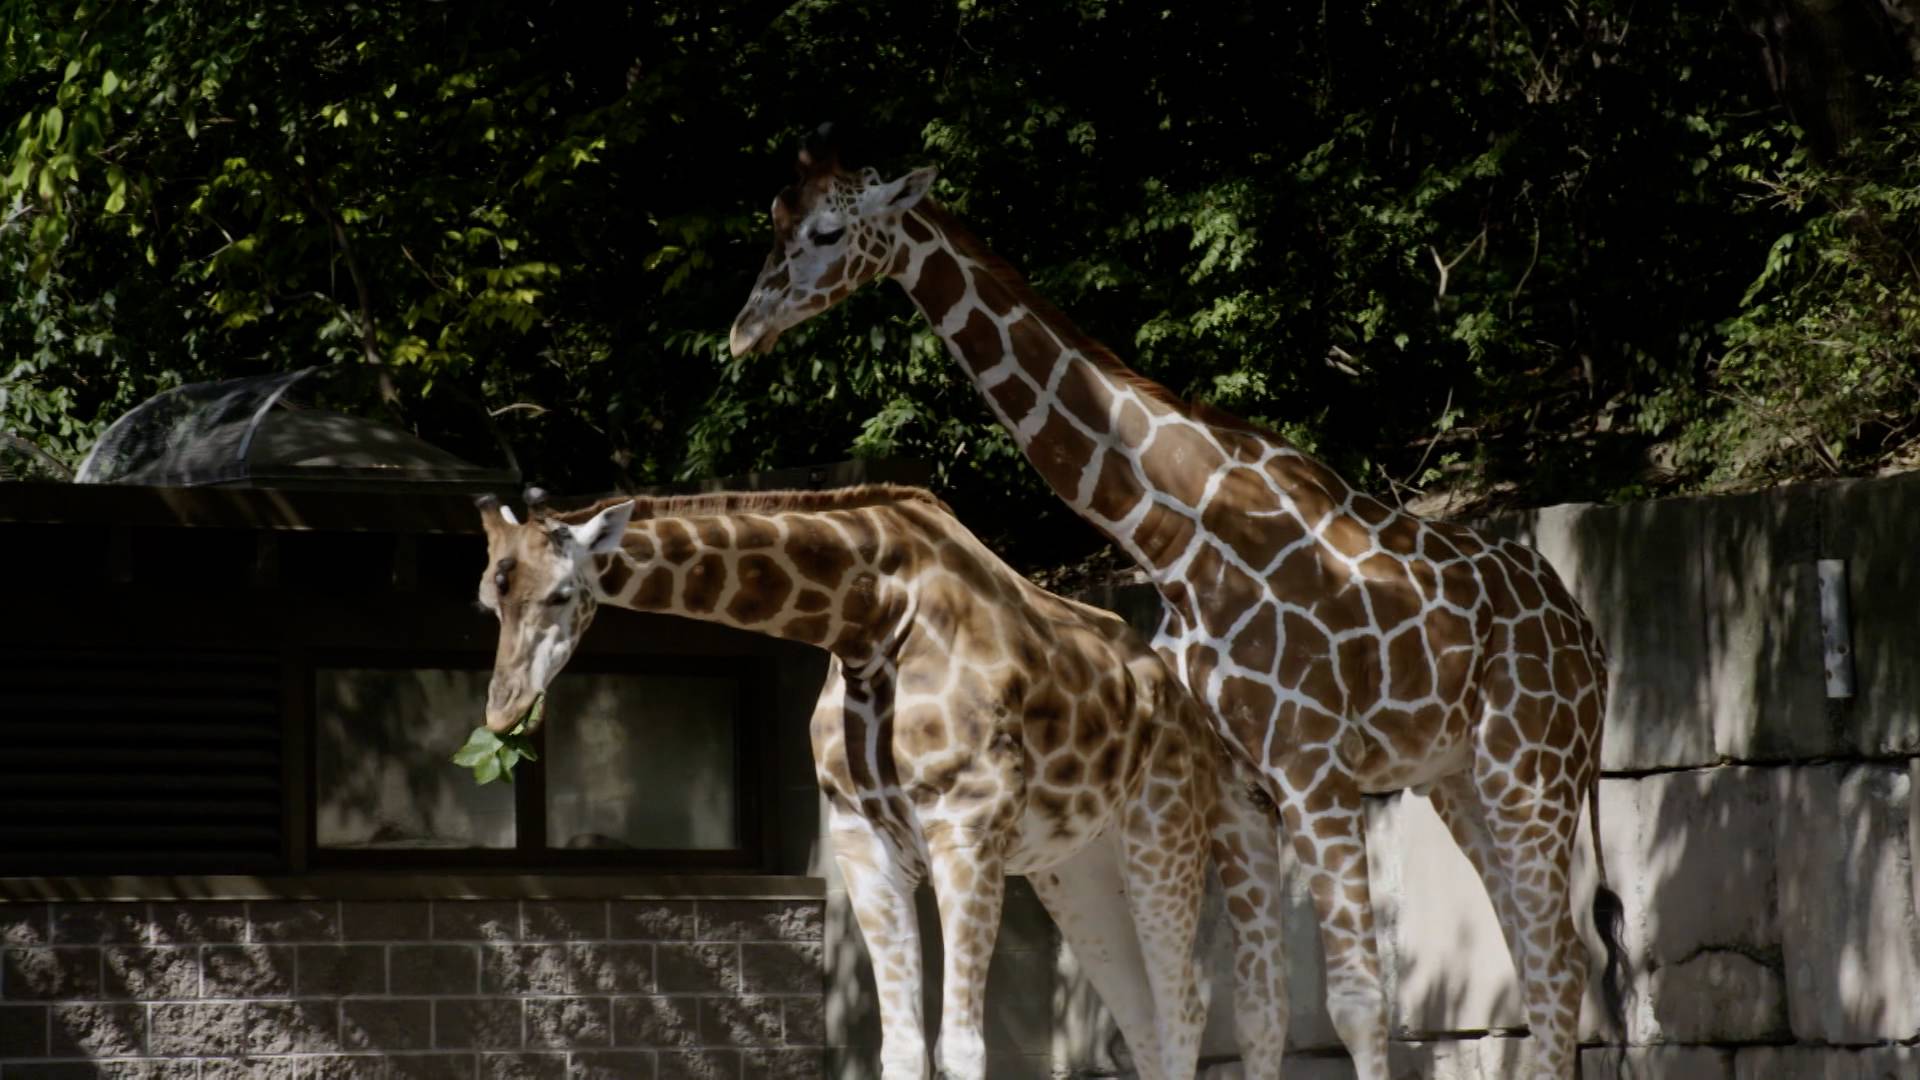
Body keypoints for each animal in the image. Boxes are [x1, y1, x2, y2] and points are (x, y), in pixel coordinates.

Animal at [478, 486, 1290, 1076]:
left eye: (560, 596)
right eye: (489, 598)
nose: (502, 710)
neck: (868, 619)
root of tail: (1181, 697)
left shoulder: (967, 831)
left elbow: (962, 1046)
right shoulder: (862, 841)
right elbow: (899, 1046)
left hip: (1169, 833)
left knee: (1193, 1006)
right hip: (1078, 867)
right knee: (1146, 1015)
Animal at [725, 134, 1628, 1076]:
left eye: (828, 231)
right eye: (775, 219)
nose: (743, 332)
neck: (1174, 535)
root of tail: (1592, 643)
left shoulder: (1312, 769)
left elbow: (1354, 1003)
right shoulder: (1238, 783)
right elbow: (1261, 1009)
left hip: (1530, 765)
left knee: (1557, 965)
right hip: (1459, 778)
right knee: (1540, 958)